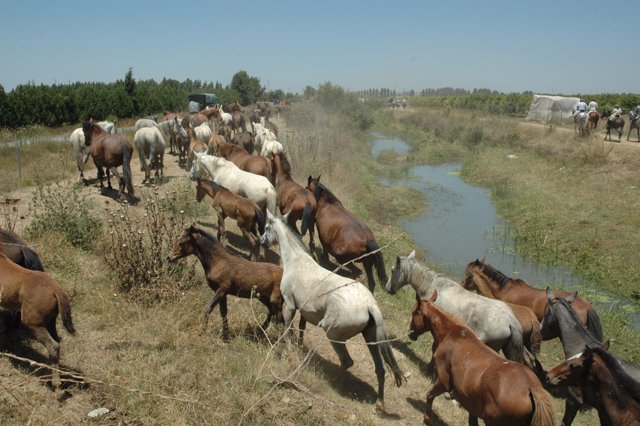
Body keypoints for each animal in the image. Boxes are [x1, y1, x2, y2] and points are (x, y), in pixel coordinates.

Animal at [0, 250, 75, 386]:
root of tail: (56, 290)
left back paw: (55, 382)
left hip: (33, 323)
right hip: (50, 322)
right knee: (57, 343)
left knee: (53, 346)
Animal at [258, 211, 400, 412]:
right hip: (370, 338)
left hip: (334, 334)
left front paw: (290, 353)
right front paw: (299, 348)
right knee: (380, 369)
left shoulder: (290, 305)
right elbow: (300, 329)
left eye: (266, 227)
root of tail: (370, 305)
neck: (295, 260)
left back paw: (331, 381)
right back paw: (379, 403)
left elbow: (286, 330)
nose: (261, 241)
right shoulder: (303, 310)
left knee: (347, 361)